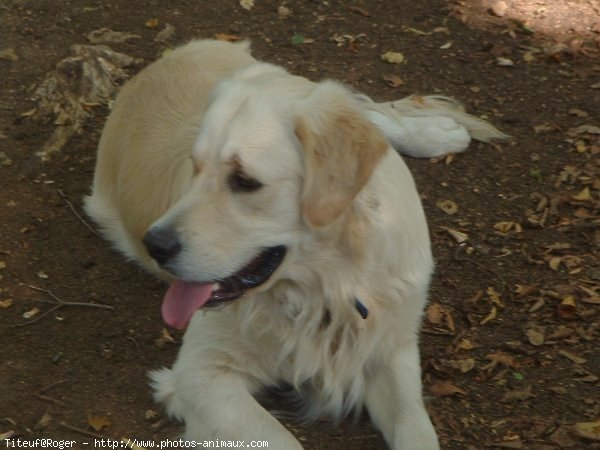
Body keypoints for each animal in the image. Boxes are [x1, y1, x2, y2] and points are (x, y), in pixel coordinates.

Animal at [85, 40, 506, 448]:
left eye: (245, 181)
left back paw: (439, 132)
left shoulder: (392, 345)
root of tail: (157, 65)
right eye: (195, 167)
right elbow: (282, 439)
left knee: (369, 113)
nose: (154, 244)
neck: (330, 281)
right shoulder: (199, 373)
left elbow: (416, 427)